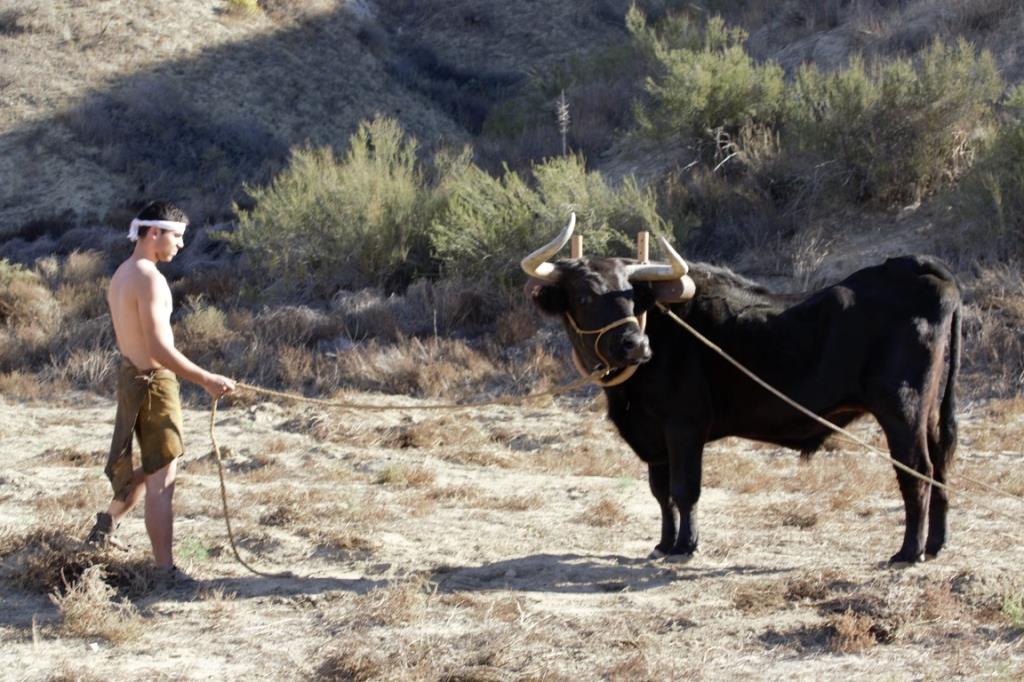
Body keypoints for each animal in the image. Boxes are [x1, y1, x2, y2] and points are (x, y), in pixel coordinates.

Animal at [528, 251, 958, 561]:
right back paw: (935, 544)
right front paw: (664, 544)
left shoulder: (684, 426)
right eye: (585, 295)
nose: (635, 345)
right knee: (940, 467)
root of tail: (918, 267)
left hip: (902, 411)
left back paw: (909, 552)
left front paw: (686, 546)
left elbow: (685, 490)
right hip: (928, 414)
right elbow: (661, 493)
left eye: (632, 296)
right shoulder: (654, 438)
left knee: (917, 473)